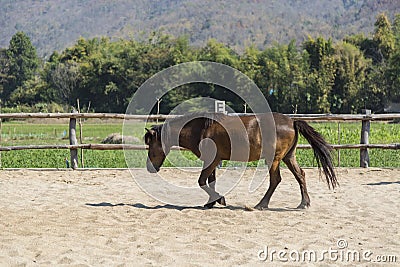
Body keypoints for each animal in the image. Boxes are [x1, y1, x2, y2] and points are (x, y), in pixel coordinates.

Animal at [144, 112, 338, 210]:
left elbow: (201, 181)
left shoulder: (211, 161)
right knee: (300, 175)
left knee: (275, 180)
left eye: (151, 145)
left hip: (274, 159)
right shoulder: (213, 161)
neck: (201, 129)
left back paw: (261, 205)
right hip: (289, 157)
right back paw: (303, 203)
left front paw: (219, 199)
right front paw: (212, 202)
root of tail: (292, 121)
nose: (149, 168)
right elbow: (211, 181)